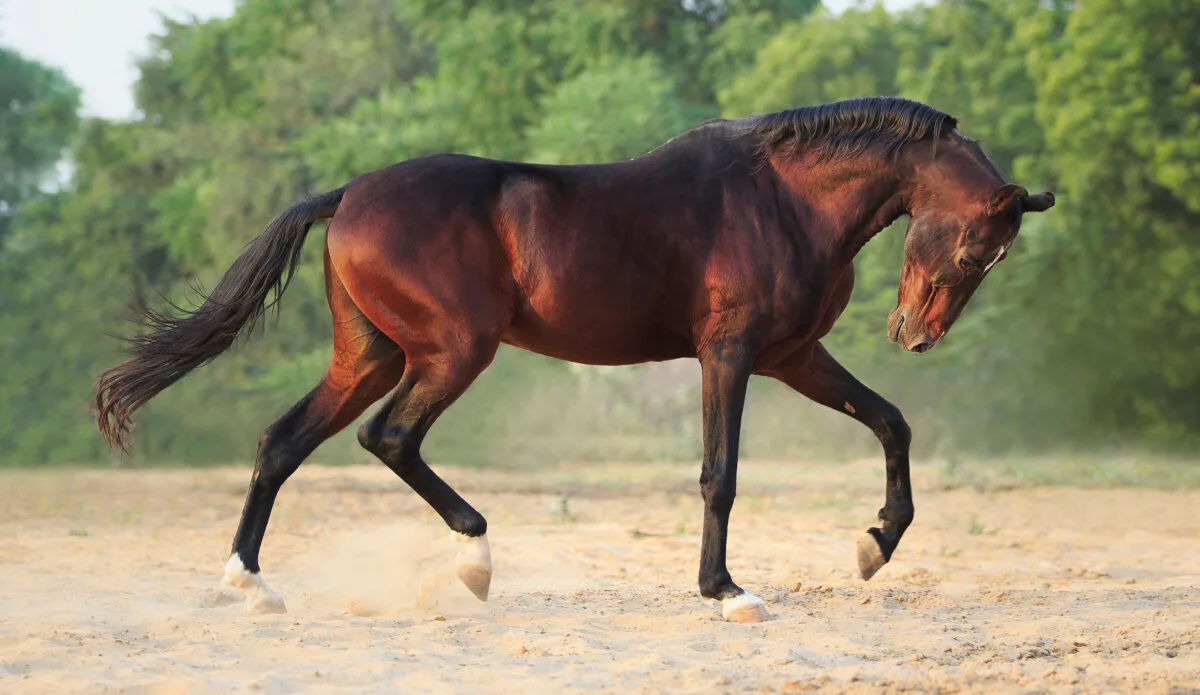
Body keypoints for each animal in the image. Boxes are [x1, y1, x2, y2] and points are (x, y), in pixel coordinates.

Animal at [95, 97, 1054, 622]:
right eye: (975, 250)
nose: (914, 333)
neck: (782, 197)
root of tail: (349, 195)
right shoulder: (731, 353)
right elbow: (720, 474)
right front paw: (726, 591)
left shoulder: (793, 355)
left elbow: (891, 421)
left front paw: (874, 545)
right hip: (451, 351)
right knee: (388, 438)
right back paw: (474, 561)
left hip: (370, 354)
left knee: (283, 443)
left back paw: (251, 584)